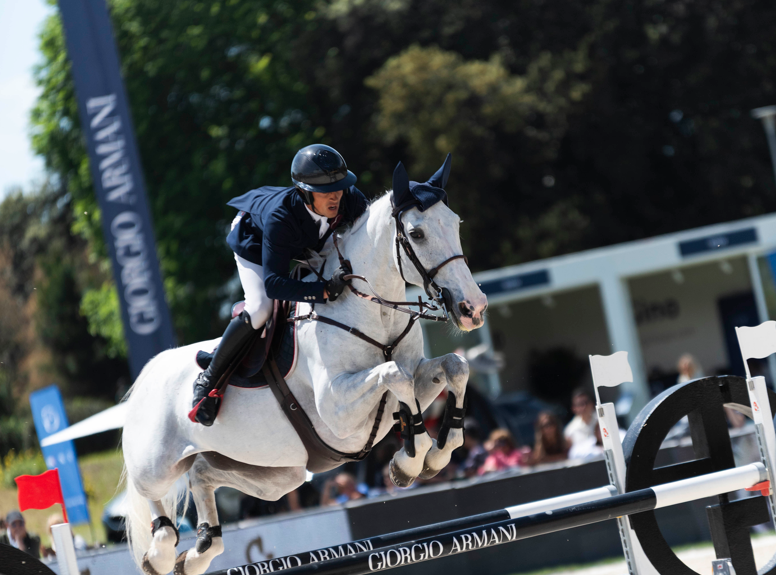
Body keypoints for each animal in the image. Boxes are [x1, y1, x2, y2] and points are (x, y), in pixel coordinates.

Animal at [122, 157, 488, 575]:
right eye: (417, 233)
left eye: (455, 223)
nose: (473, 308)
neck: (373, 311)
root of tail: (148, 373)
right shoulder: (338, 410)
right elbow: (394, 377)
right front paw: (410, 461)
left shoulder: (416, 374)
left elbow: (454, 367)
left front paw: (434, 455)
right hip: (156, 463)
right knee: (146, 491)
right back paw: (161, 551)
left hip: (280, 473)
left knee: (202, 475)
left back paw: (200, 551)